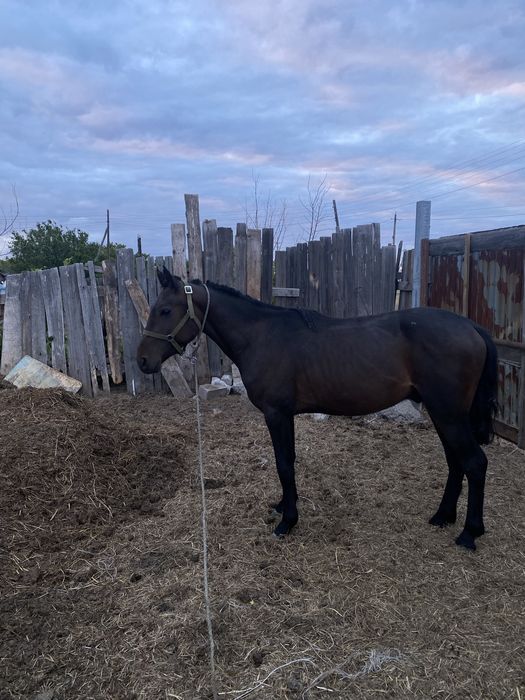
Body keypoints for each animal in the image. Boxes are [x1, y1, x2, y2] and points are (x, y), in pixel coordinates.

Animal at [137, 268, 498, 551]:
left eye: (165, 310)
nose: (142, 361)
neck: (262, 335)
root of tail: (472, 328)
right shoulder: (285, 416)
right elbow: (289, 461)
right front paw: (283, 505)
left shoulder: (277, 413)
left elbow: (284, 464)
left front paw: (287, 521)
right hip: (444, 414)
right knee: (456, 462)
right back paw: (443, 516)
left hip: (449, 414)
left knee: (475, 463)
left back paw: (469, 533)